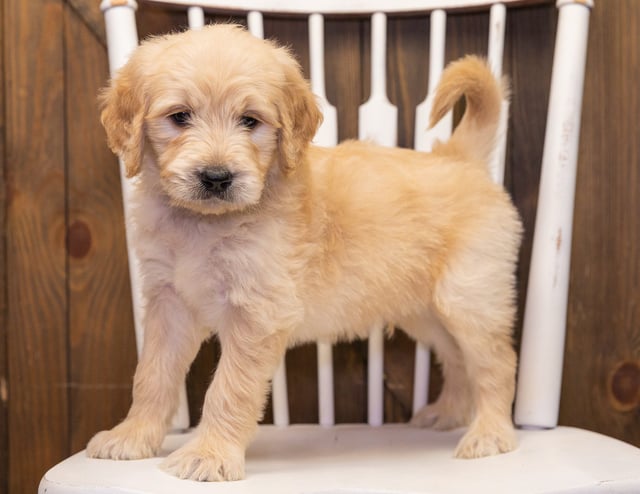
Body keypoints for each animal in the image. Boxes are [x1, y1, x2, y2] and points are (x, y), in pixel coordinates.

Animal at [86, 24, 520, 482]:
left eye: (250, 120)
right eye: (179, 116)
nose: (217, 177)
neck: (206, 224)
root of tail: (459, 157)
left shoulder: (259, 313)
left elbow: (229, 388)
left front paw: (208, 454)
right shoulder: (169, 303)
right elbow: (152, 374)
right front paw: (133, 436)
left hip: (469, 299)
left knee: (496, 363)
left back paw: (490, 433)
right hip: (427, 312)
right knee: (457, 360)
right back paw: (448, 413)